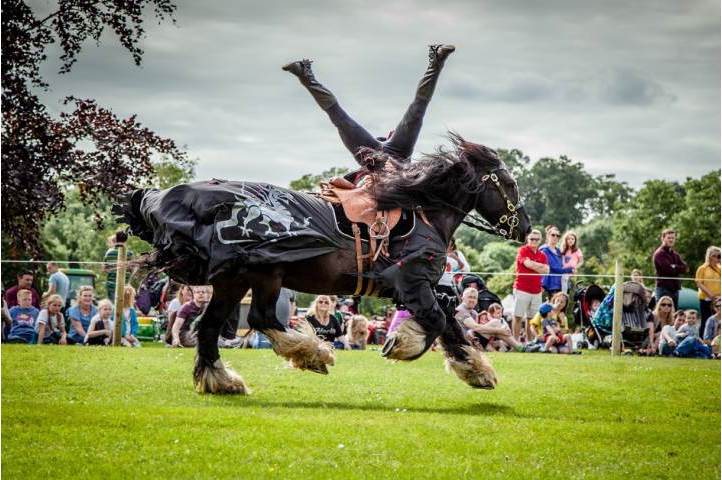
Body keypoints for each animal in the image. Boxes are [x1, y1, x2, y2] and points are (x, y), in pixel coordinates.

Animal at [119, 134, 528, 394]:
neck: (425, 214)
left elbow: (447, 320)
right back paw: (312, 354)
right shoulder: (411, 282)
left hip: (239, 279)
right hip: (261, 274)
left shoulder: (420, 288)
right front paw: (406, 346)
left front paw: (473, 370)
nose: (524, 228)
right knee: (257, 319)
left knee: (216, 327)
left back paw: (224, 381)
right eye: (509, 184)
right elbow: (439, 320)